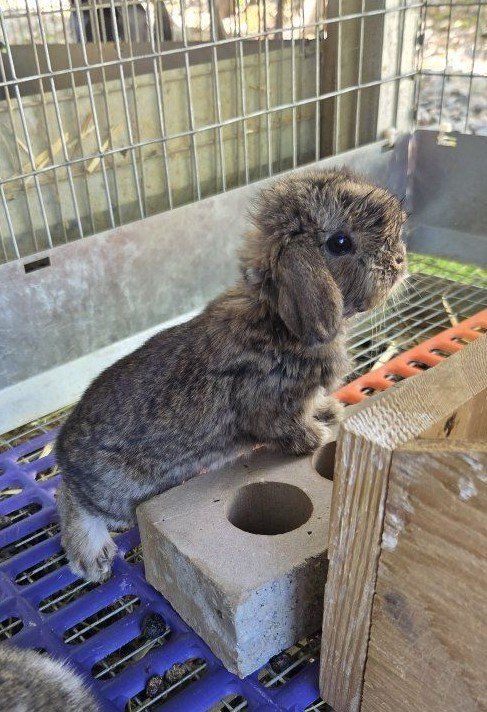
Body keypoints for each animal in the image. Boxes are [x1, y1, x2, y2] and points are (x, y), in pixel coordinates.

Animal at [56, 169, 407, 582]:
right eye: (340, 242)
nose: (400, 262)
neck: (276, 319)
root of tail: (62, 452)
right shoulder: (271, 407)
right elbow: (286, 429)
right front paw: (315, 437)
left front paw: (329, 411)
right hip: (119, 493)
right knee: (75, 503)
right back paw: (92, 558)